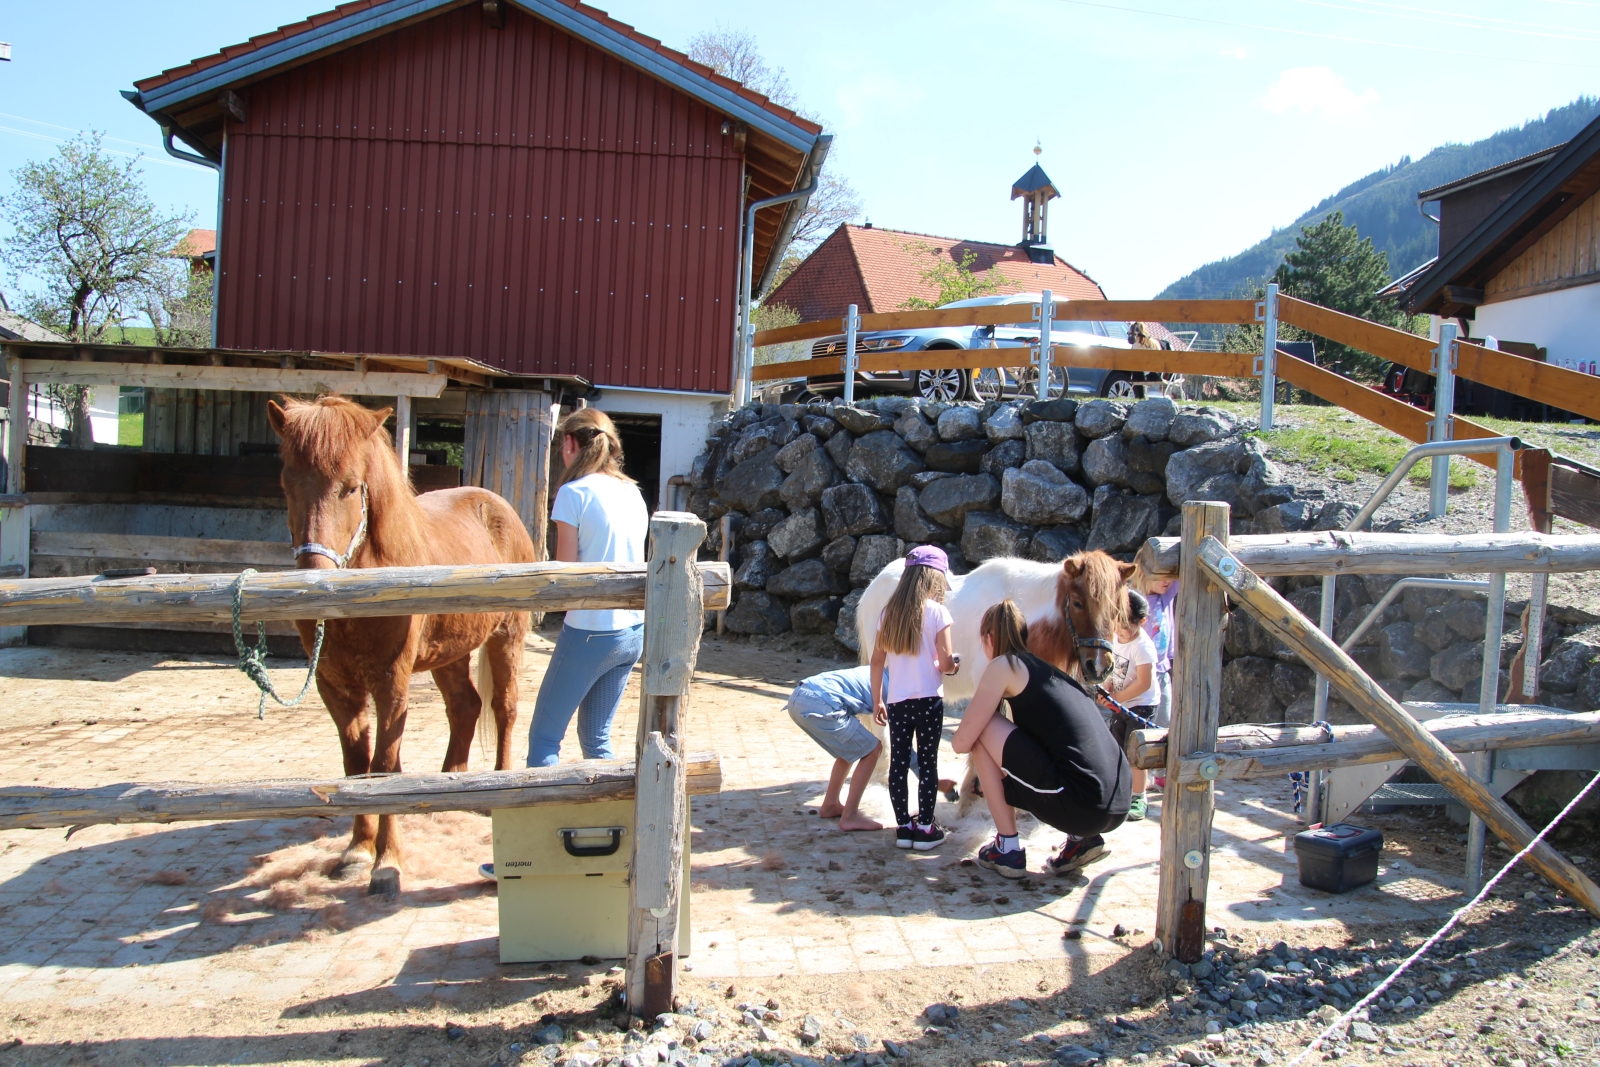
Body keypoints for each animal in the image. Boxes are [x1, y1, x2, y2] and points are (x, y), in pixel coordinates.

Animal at [265, 396, 534, 895]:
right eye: (286, 483)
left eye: (352, 487)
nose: (312, 590)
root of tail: (496, 504)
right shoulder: (336, 687)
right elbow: (356, 766)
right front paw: (356, 851)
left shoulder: (391, 683)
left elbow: (385, 765)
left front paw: (387, 863)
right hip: (450, 652)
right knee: (465, 706)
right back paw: (450, 783)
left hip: (505, 638)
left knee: (503, 708)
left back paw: (496, 788)